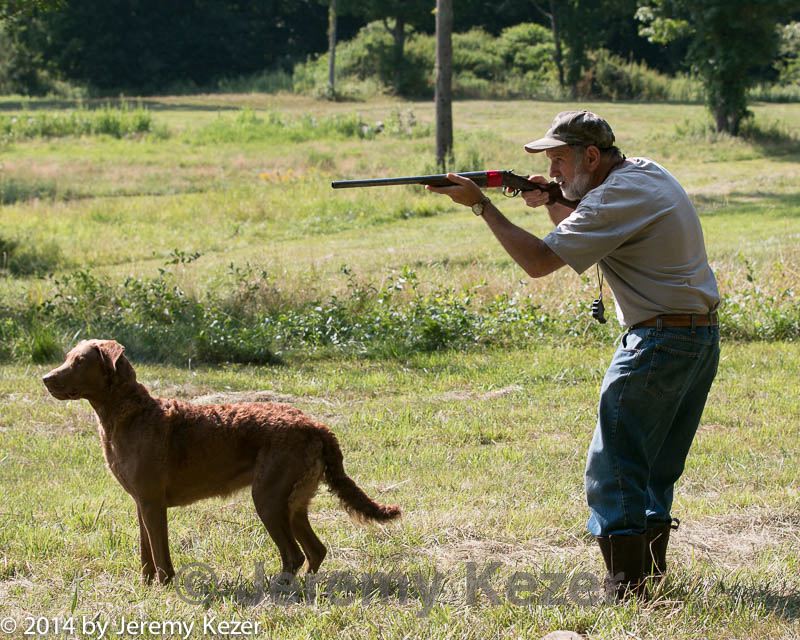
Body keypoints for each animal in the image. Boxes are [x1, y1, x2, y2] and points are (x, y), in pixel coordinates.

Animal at [42, 340, 398, 584]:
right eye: (68, 357)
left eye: (79, 361)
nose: (45, 378)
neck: (129, 413)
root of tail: (316, 426)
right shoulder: (141, 502)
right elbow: (145, 553)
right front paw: (144, 587)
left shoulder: (153, 503)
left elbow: (160, 555)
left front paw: (166, 588)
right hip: (294, 501)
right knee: (315, 550)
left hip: (268, 497)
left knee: (294, 554)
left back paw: (276, 588)